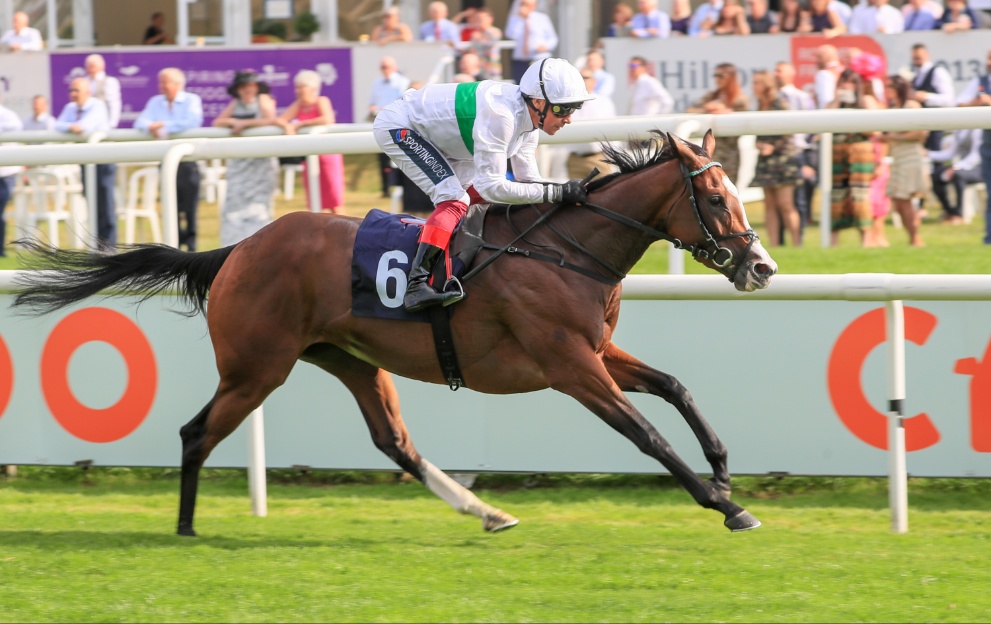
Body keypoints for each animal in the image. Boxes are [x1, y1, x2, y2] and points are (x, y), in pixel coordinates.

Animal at [11, 130, 780, 536]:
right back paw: (185, 528)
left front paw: (721, 467)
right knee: (196, 433)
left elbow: (674, 386)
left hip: (349, 358)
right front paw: (724, 504)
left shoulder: (597, 351)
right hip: (256, 367)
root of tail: (238, 250)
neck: (564, 249)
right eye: (716, 199)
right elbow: (645, 434)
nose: (762, 266)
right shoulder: (568, 365)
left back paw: (485, 510)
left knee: (395, 443)